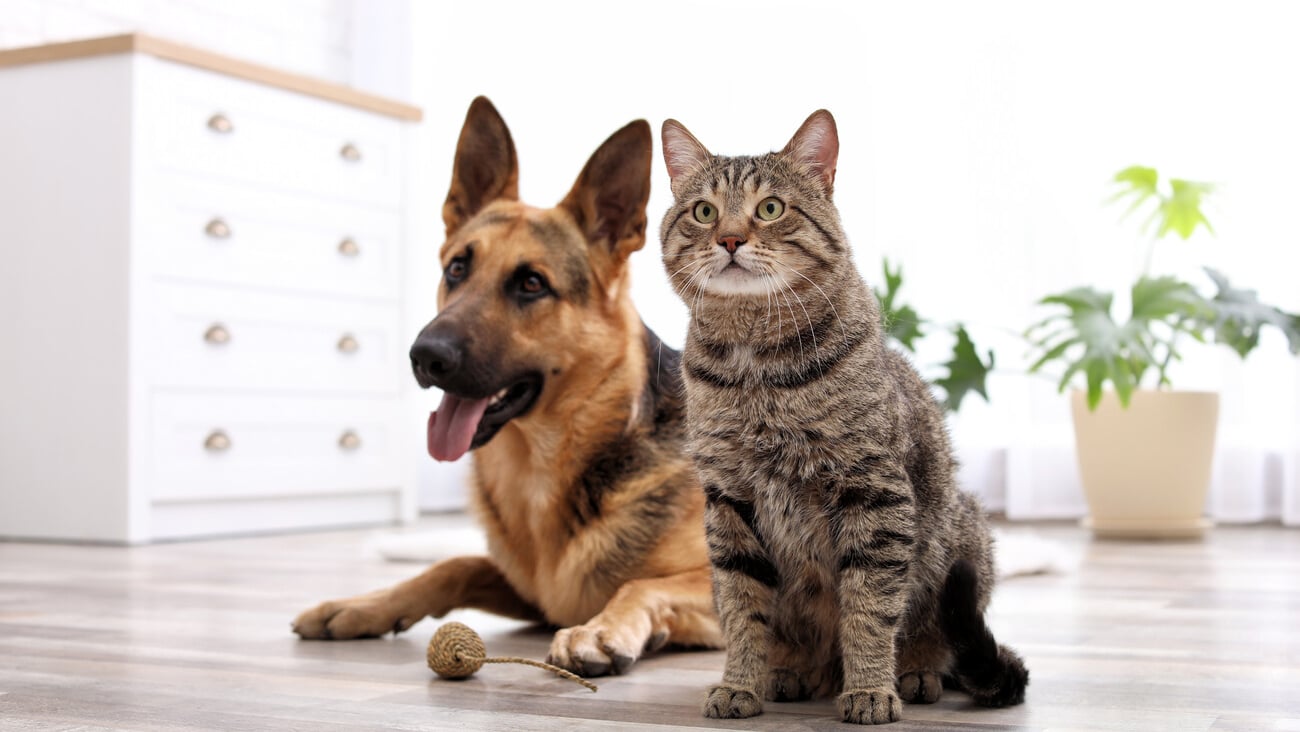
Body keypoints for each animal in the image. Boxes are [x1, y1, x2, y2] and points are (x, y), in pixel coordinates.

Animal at [292, 97, 722, 676]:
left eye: (532, 284)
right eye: (457, 268)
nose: (425, 356)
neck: (542, 468)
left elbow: (641, 584)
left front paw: (601, 629)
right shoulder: (533, 592)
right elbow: (454, 564)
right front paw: (363, 606)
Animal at [660, 111, 1024, 722]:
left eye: (770, 208)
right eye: (704, 212)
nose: (729, 239)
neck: (756, 368)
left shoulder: (872, 491)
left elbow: (869, 608)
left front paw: (871, 688)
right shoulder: (729, 502)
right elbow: (742, 609)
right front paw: (741, 682)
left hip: (964, 536)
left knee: (937, 635)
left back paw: (914, 672)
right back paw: (789, 672)